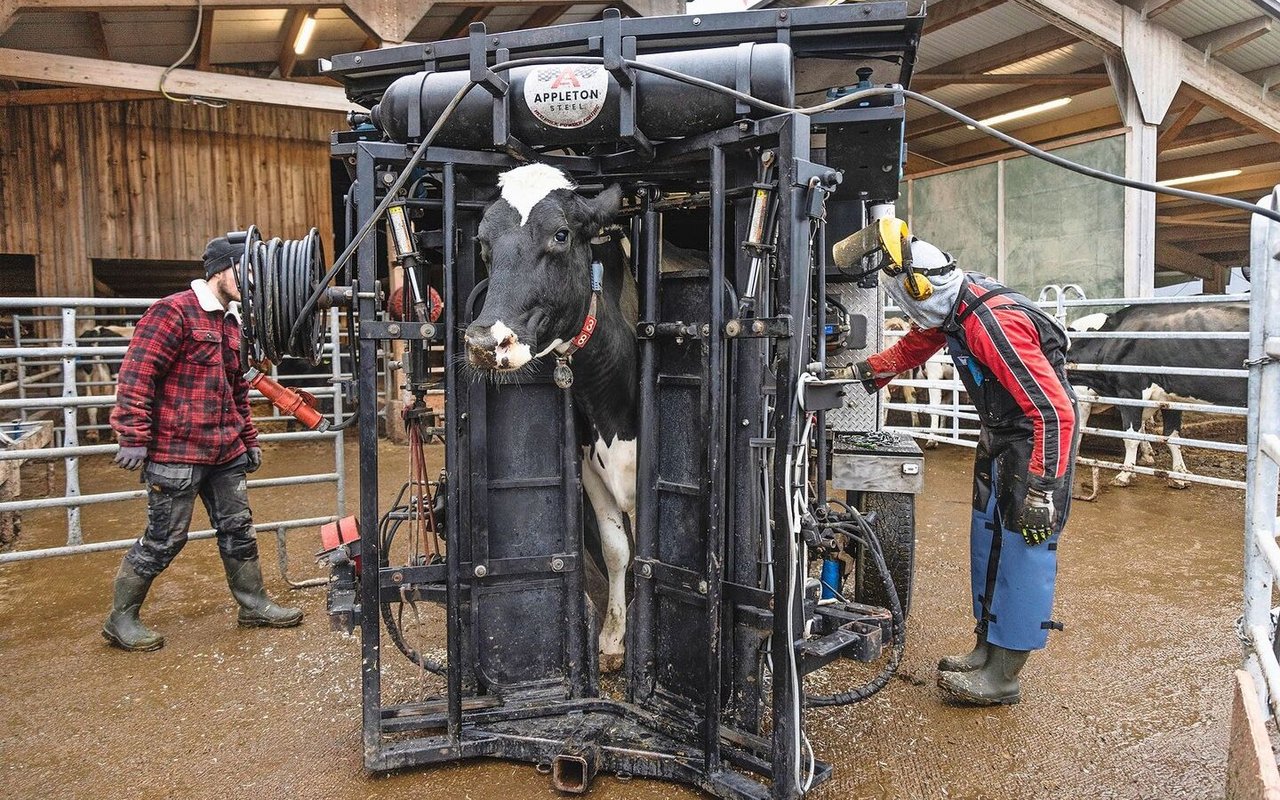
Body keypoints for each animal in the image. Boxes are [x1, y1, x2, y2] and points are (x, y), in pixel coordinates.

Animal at [463, 163, 635, 672]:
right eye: (483, 242)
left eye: (561, 235)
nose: (485, 342)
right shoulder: (591, 468)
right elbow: (617, 551)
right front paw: (613, 637)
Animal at [1066, 302, 1248, 490]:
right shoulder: (1170, 398)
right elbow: (1172, 436)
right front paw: (1179, 475)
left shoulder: (1129, 392)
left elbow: (1129, 436)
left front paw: (1124, 474)